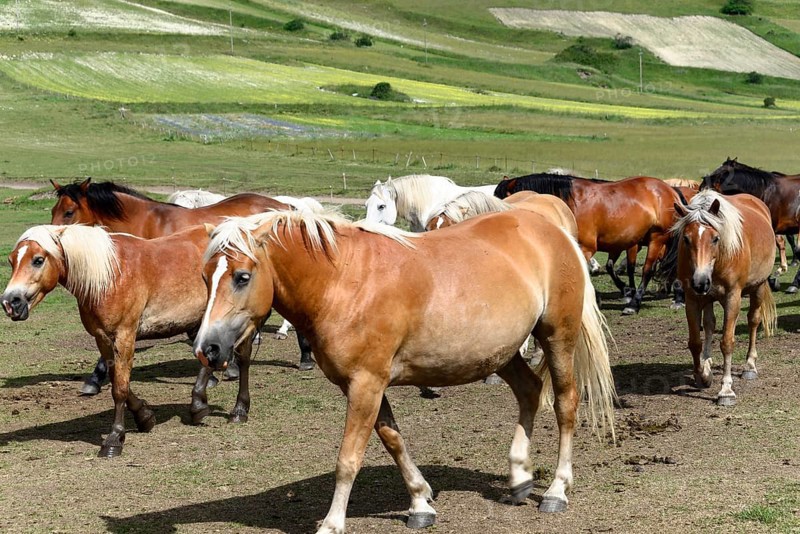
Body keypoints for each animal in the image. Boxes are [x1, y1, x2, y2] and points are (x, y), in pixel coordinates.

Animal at [0, 225, 255, 457]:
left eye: (38, 260)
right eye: (12, 261)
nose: (10, 302)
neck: (110, 275)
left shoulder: (125, 336)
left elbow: (120, 389)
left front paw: (114, 439)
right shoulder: (103, 339)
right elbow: (117, 380)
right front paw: (145, 417)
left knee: (240, 357)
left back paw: (233, 410)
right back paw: (198, 405)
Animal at [192, 209, 616, 533]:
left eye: (242, 276)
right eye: (204, 277)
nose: (206, 349)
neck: (344, 281)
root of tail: (552, 230)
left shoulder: (366, 384)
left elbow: (348, 459)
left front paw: (332, 523)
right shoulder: (364, 385)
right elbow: (392, 439)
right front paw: (420, 503)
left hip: (558, 336)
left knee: (565, 404)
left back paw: (556, 491)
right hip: (502, 352)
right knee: (529, 390)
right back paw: (520, 477)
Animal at [495, 173, 682, 315]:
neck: (569, 204)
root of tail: (670, 190)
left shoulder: (586, 248)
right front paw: (617, 292)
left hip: (657, 239)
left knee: (647, 271)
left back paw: (634, 305)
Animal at [672, 190, 776, 406]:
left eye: (715, 238)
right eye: (686, 239)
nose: (700, 281)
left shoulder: (732, 297)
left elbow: (727, 342)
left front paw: (726, 390)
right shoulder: (692, 299)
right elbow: (695, 342)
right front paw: (703, 375)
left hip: (758, 288)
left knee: (753, 321)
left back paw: (749, 366)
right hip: (707, 298)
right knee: (709, 325)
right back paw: (708, 362)